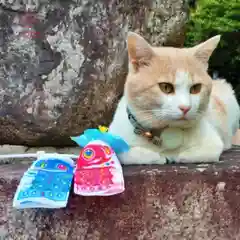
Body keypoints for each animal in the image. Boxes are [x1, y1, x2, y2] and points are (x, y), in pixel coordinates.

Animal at [109, 31, 240, 164]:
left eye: (196, 88)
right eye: (166, 87)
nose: (185, 107)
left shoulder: (213, 144)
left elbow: (185, 155)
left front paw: (173, 155)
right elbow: (128, 154)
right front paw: (158, 156)